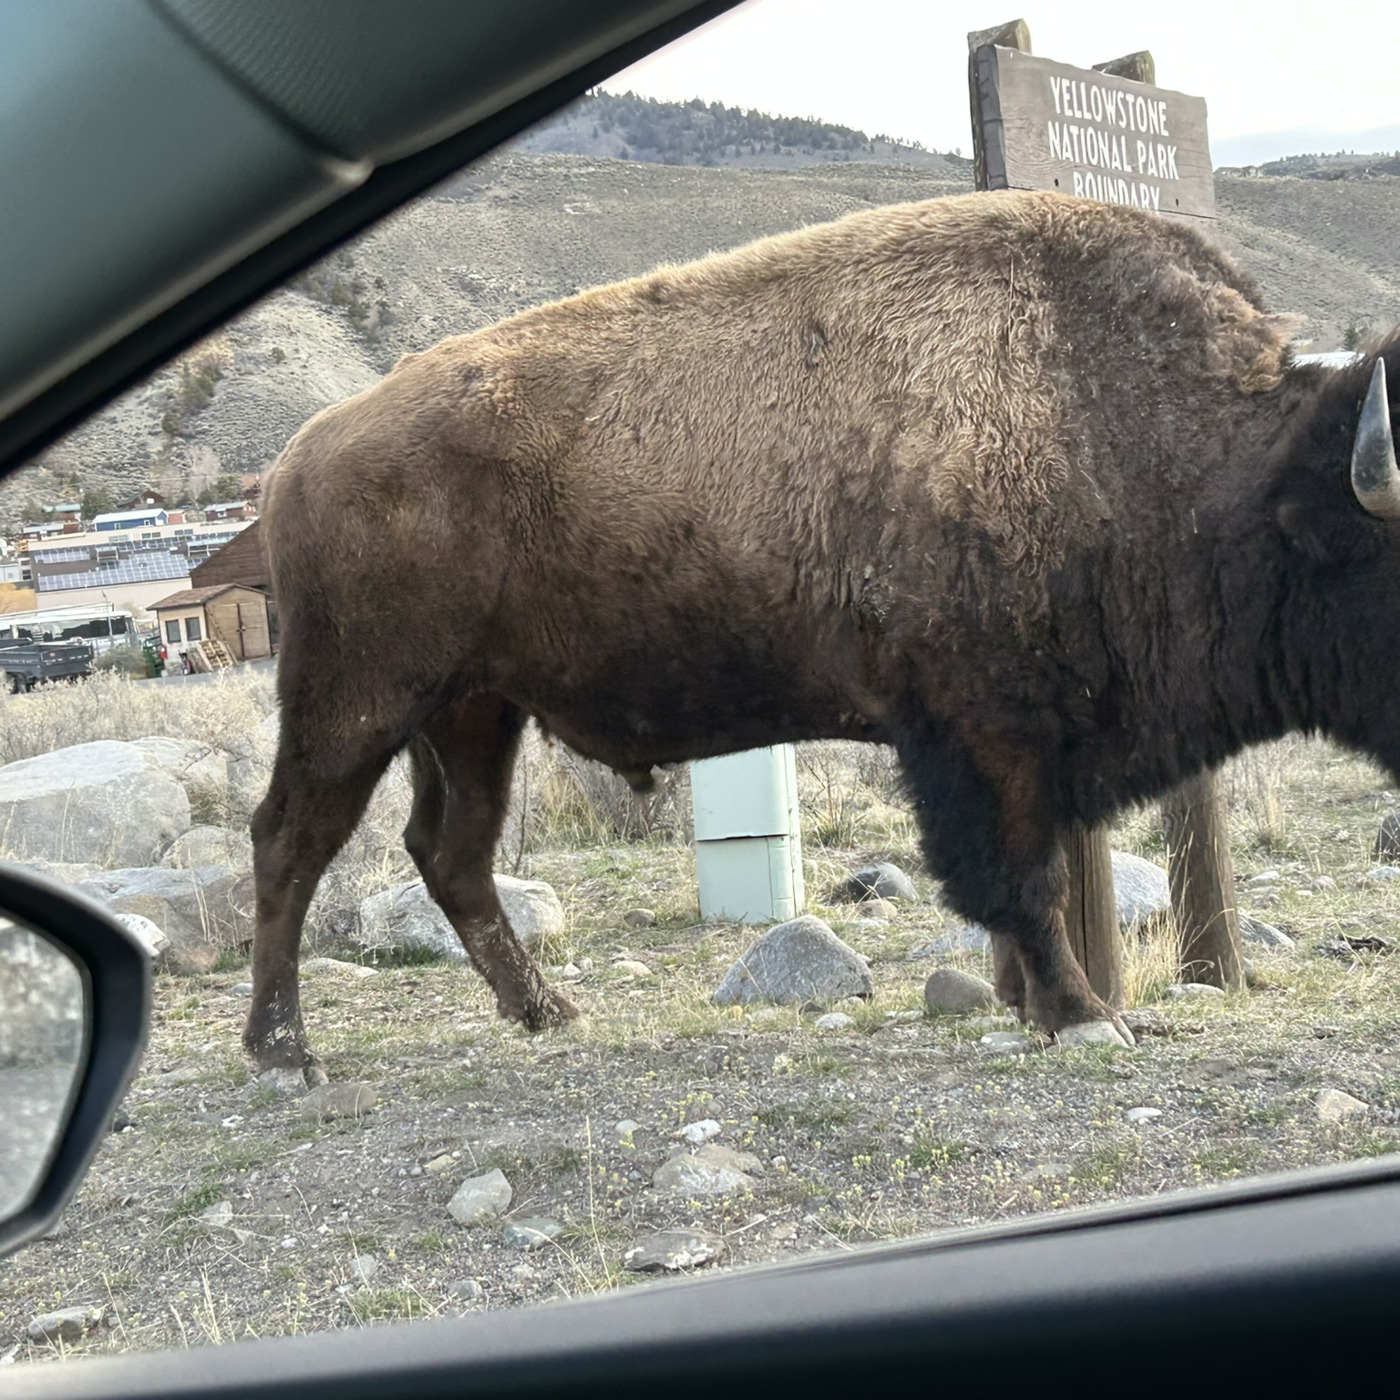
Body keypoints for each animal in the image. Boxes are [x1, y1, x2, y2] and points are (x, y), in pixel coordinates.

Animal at [245, 189, 1400, 1079]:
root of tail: (303, 453)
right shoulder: (985, 740)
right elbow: (1021, 882)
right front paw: (1084, 1018)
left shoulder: (1033, 744)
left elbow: (1021, 888)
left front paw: (1044, 1007)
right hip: (353, 704)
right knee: (291, 841)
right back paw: (285, 1052)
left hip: (475, 712)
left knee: (452, 855)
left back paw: (547, 1013)